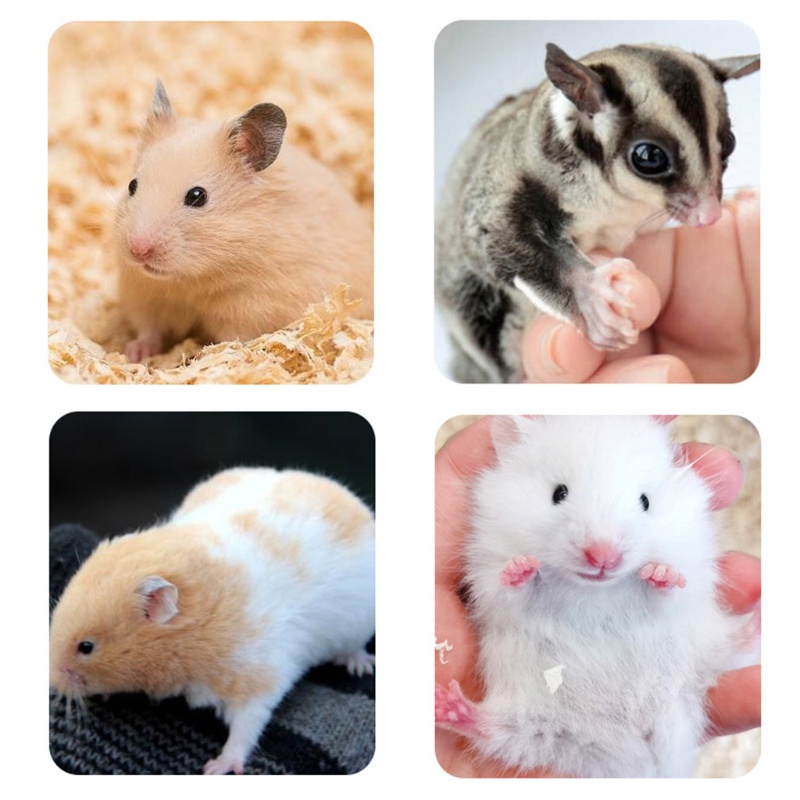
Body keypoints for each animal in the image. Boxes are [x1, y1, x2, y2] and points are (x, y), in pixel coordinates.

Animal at [50, 467, 375, 775]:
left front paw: (217, 768)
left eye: (86, 647)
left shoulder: (258, 675)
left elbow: (246, 726)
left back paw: (359, 666)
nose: (52, 683)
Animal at [115, 81, 373, 362]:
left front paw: (202, 356)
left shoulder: (252, 308)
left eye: (197, 196)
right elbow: (149, 329)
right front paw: (133, 353)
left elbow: (232, 340)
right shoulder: (145, 293)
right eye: (132, 185)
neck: (189, 281)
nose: (138, 250)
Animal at [435, 43, 760, 382]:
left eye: (730, 143)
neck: (613, 201)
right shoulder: (505, 183)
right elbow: (493, 235)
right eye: (649, 156)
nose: (710, 216)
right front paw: (591, 296)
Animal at [435, 416, 758, 778]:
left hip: (702, 650)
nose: (603, 557)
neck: (594, 591)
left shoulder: (686, 580)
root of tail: (636, 755)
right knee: (494, 732)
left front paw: (660, 573)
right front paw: (522, 567)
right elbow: (511, 587)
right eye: (558, 493)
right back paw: (447, 706)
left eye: (645, 501)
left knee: (734, 648)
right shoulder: (488, 574)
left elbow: (669, 592)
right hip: (534, 726)